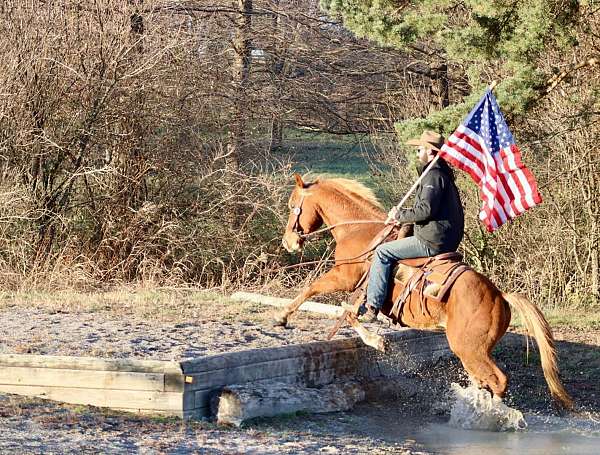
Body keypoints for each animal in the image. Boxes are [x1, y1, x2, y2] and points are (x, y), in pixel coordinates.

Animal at [276, 175, 572, 410]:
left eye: (292, 206)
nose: (288, 242)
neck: (358, 230)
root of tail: (499, 296)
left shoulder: (344, 278)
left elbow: (322, 295)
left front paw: (283, 316)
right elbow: (344, 311)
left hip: (470, 349)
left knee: (497, 381)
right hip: (473, 352)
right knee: (483, 381)